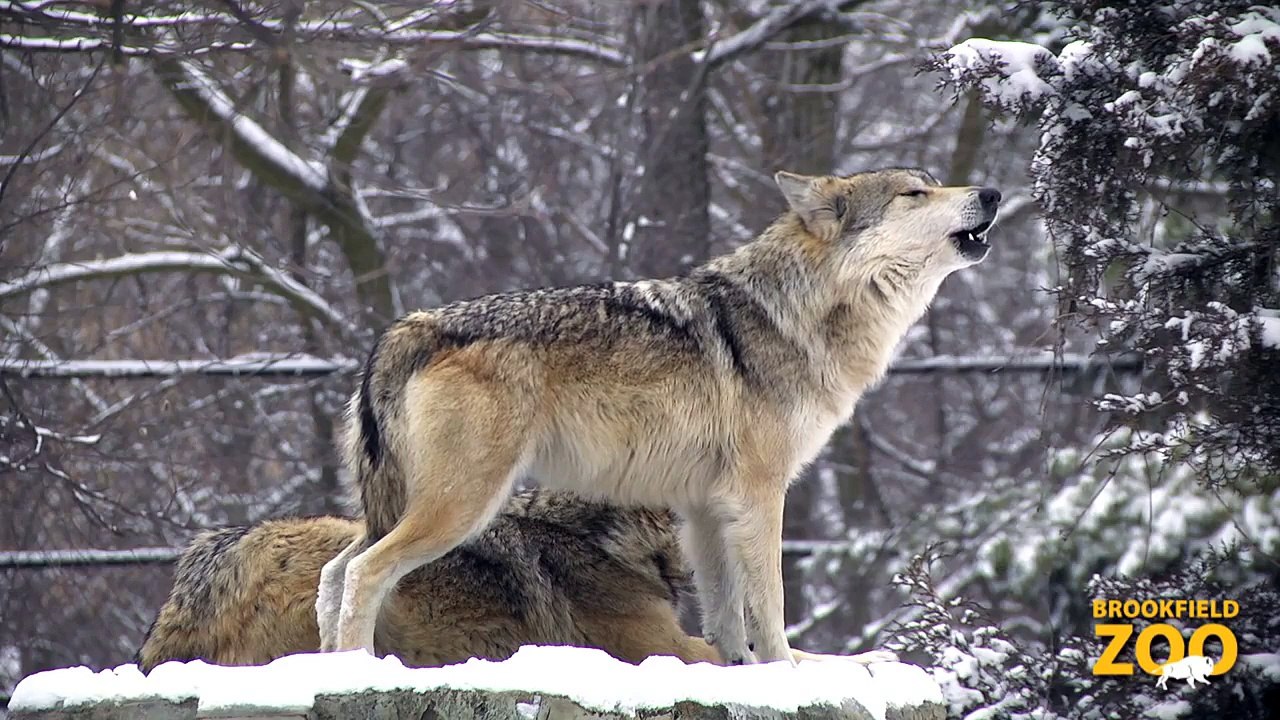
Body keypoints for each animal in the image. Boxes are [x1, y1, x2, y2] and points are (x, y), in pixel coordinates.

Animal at [323, 167, 1000, 665]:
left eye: (933, 182)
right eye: (915, 192)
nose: (993, 192)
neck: (799, 312)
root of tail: (406, 329)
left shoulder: (705, 507)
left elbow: (725, 616)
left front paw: (749, 671)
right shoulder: (759, 495)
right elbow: (770, 605)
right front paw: (790, 671)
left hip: (402, 508)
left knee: (334, 572)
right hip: (460, 507)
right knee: (363, 573)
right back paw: (358, 671)